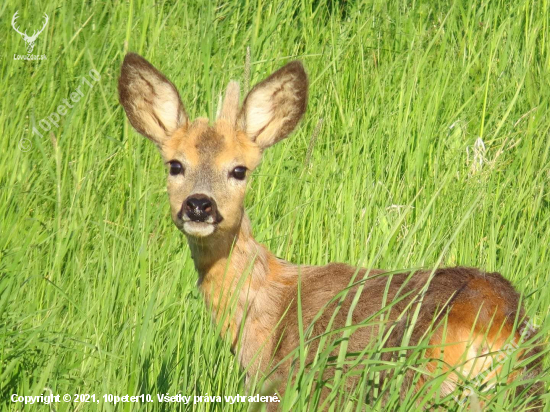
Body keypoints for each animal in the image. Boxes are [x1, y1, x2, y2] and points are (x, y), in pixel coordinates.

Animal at [118, 53, 544, 408]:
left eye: (239, 169)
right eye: (175, 164)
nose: (199, 205)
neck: (264, 312)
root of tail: (496, 320)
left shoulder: (283, 389)